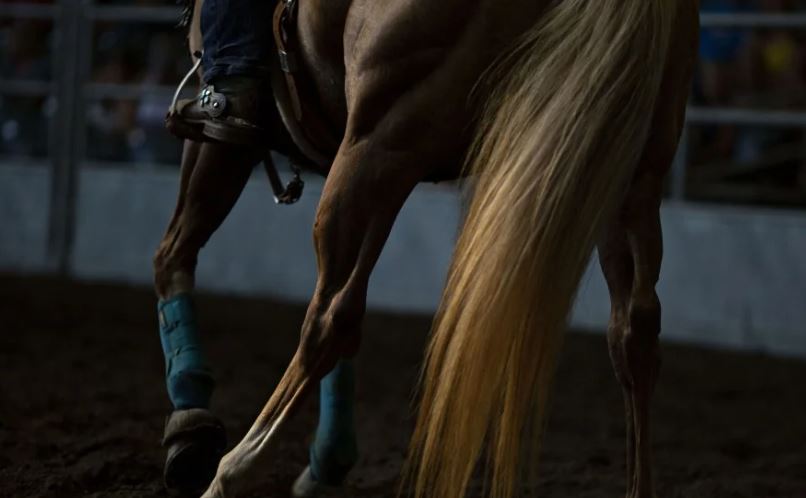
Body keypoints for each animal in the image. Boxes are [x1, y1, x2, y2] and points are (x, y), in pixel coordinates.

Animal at [152, 0, 700, 497]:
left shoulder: (230, 142)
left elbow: (173, 255)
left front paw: (190, 427)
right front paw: (328, 457)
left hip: (380, 143)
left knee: (328, 320)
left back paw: (230, 471)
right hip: (629, 176)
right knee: (633, 333)